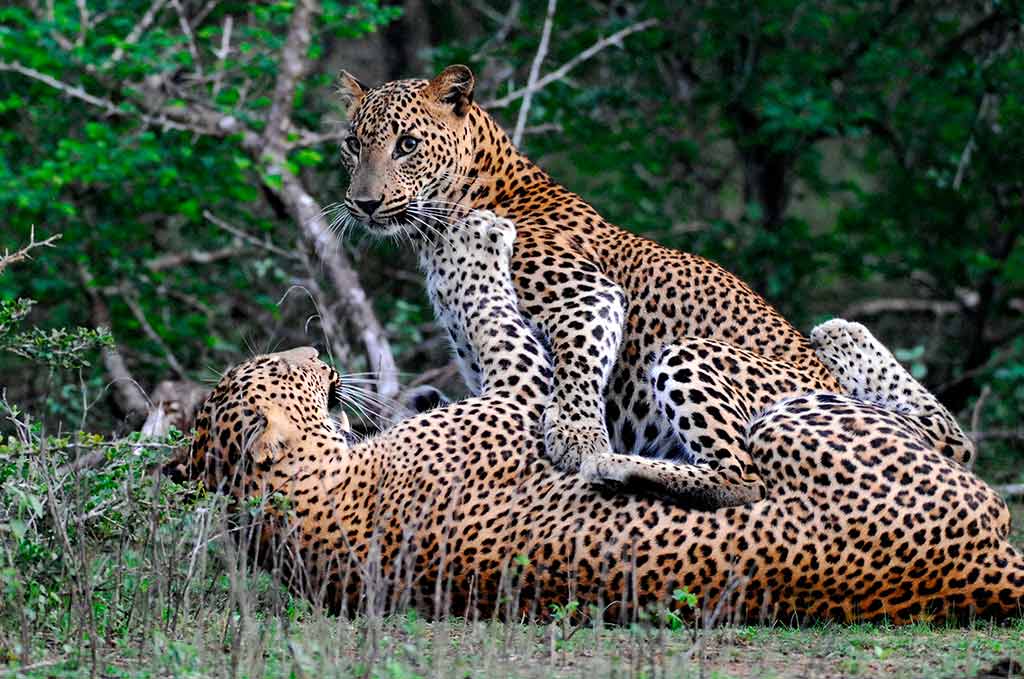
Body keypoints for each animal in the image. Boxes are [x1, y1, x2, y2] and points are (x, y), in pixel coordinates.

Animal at [166, 211, 1023, 624]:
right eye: (285, 369)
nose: (315, 352)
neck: (296, 499)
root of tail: (979, 563)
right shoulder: (516, 395)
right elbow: (489, 313)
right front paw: (478, 238)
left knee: (942, 428)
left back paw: (838, 331)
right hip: (773, 405)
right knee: (752, 474)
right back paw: (620, 461)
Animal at [334, 63, 856, 508]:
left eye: (407, 144)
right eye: (353, 144)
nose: (365, 203)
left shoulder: (584, 295)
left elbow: (578, 364)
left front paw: (576, 435)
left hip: (689, 353)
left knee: (744, 479)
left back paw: (621, 468)